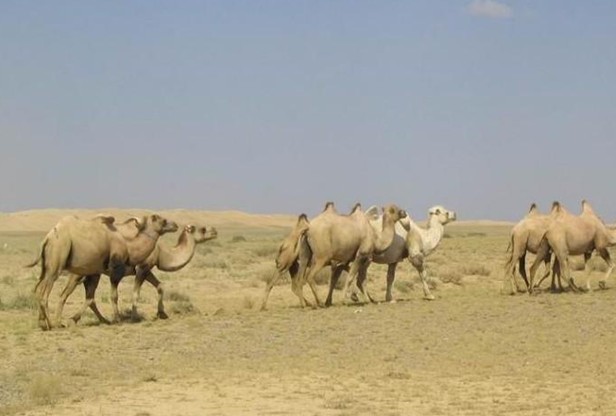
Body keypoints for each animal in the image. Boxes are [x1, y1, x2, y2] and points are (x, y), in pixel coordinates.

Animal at [27, 214, 178, 330]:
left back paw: (44, 323)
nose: (176, 224)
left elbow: (90, 298)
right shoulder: (116, 270)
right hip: (57, 262)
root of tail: (48, 238)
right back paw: (53, 324)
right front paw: (118, 319)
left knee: (40, 289)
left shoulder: (96, 272)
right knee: (47, 294)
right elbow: (114, 296)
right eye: (162, 220)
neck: (128, 246)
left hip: (48, 267)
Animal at [56, 224, 218, 324]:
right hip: (80, 272)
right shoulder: (143, 267)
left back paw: (102, 320)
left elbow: (160, 286)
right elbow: (136, 293)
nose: (215, 231)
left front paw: (162, 313)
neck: (162, 253)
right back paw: (68, 319)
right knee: (65, 293)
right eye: (203, 229)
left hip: (93, 273)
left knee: (90, 297)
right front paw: (134, 317)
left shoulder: (148, 268)